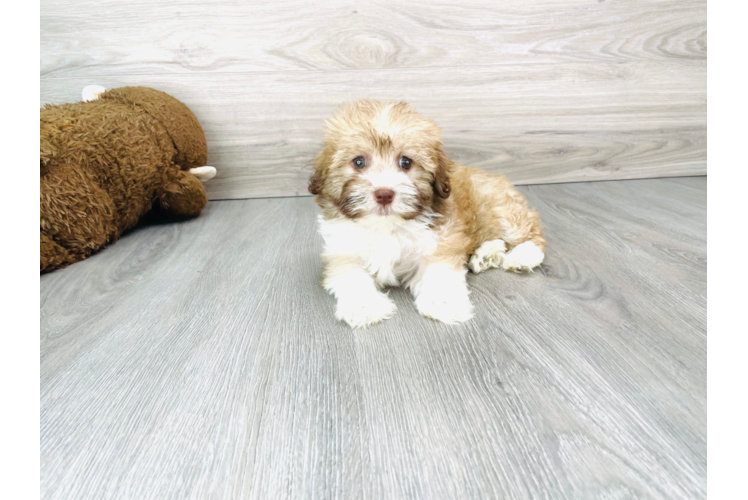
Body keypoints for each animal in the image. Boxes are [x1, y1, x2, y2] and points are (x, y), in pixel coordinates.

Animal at [306, 100, 548, 328]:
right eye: (359, 161)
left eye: (406, 162)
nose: (384, 194)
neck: (386, 225)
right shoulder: (341, 249)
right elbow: (349, 274)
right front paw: (365, 306)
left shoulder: (443, 238)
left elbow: (439, 269)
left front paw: (443, 302)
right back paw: (487, 254)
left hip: (500, 207)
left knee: (531, 231)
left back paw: (522, 255)